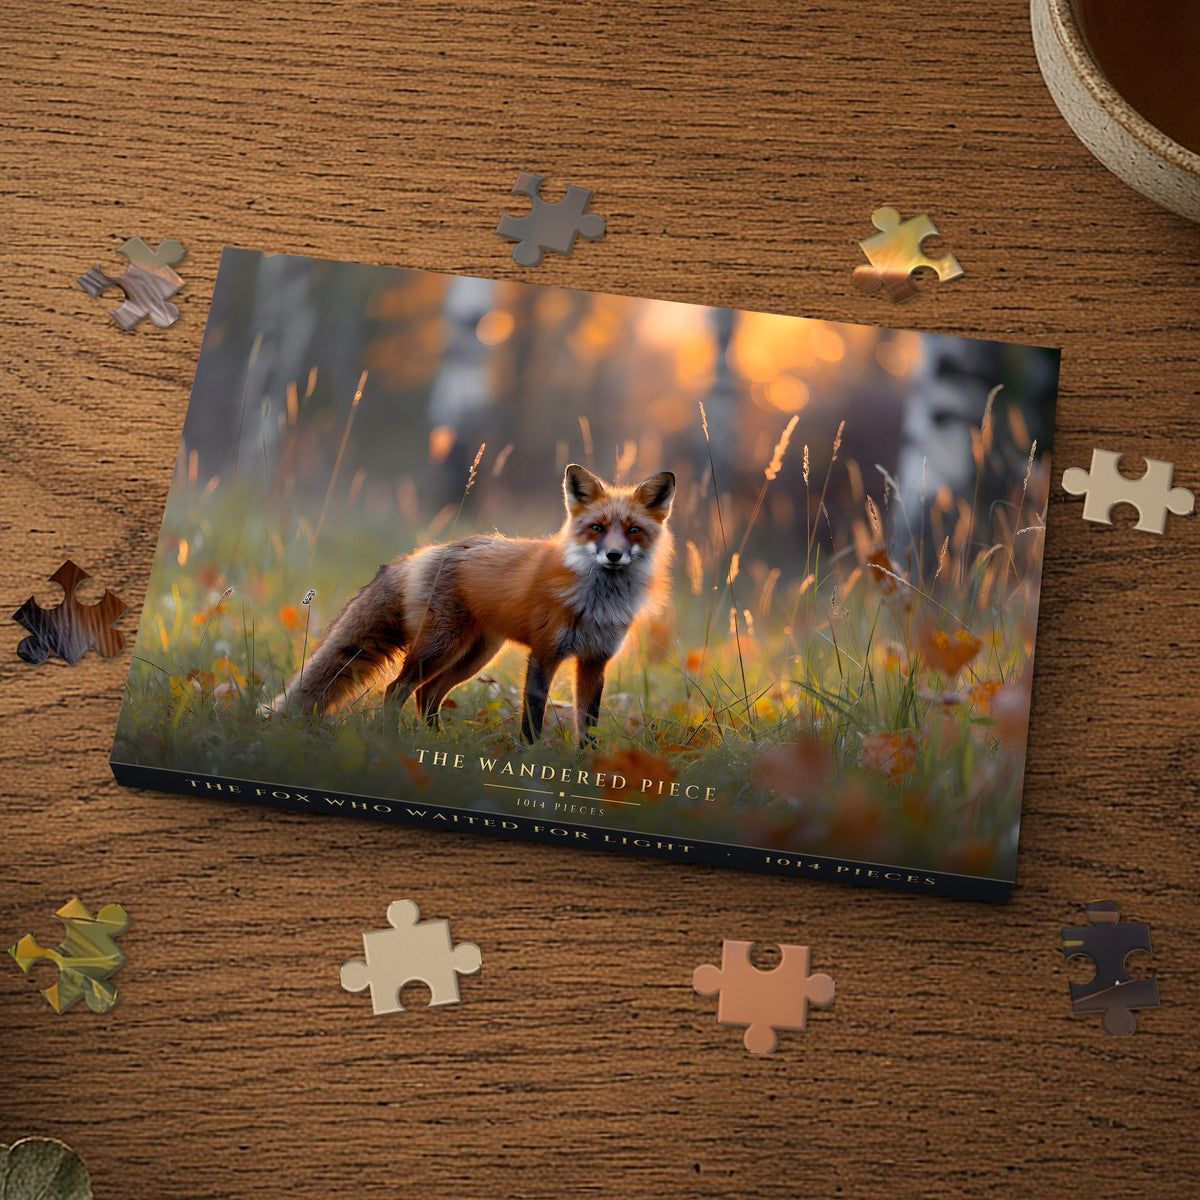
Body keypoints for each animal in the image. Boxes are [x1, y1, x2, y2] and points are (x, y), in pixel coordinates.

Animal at [266, 464, 676, 743]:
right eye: (597, 528)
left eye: (634, 530)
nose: (613, 555)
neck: (597, 602)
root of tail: (419, 555)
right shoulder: (544, 654)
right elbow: (533, 718)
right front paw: (528, 763)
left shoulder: (594, 661)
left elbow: (586, 726)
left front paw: (583, 771)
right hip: (440, 648)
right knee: (396, 690)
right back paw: (392, 741)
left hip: (474, 655)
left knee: (426, 694)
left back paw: (436, 743)